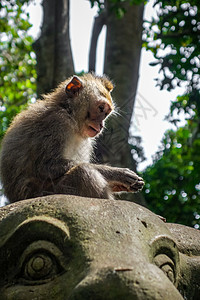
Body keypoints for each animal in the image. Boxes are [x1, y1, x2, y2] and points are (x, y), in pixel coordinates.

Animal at [0, 73, 144, 203]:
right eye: (101, 108)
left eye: (106, 113)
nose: (101, 125)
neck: (69, 112)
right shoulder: (56, 122)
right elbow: (45, 165)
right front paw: (116, 173)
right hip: (47, 193)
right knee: (83, 172)